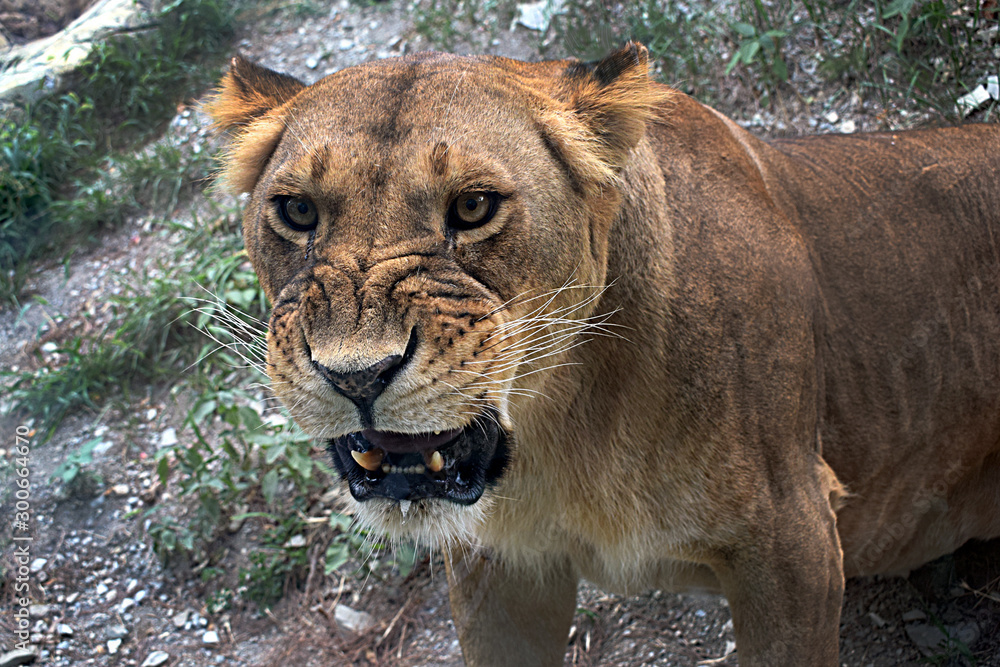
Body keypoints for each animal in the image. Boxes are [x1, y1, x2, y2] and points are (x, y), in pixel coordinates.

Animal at [205, 43, 1000, 665]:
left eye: (473, 207)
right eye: (297, 211)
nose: (356, 374)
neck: (560, 425)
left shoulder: (791, 540)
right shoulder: (501, 566)